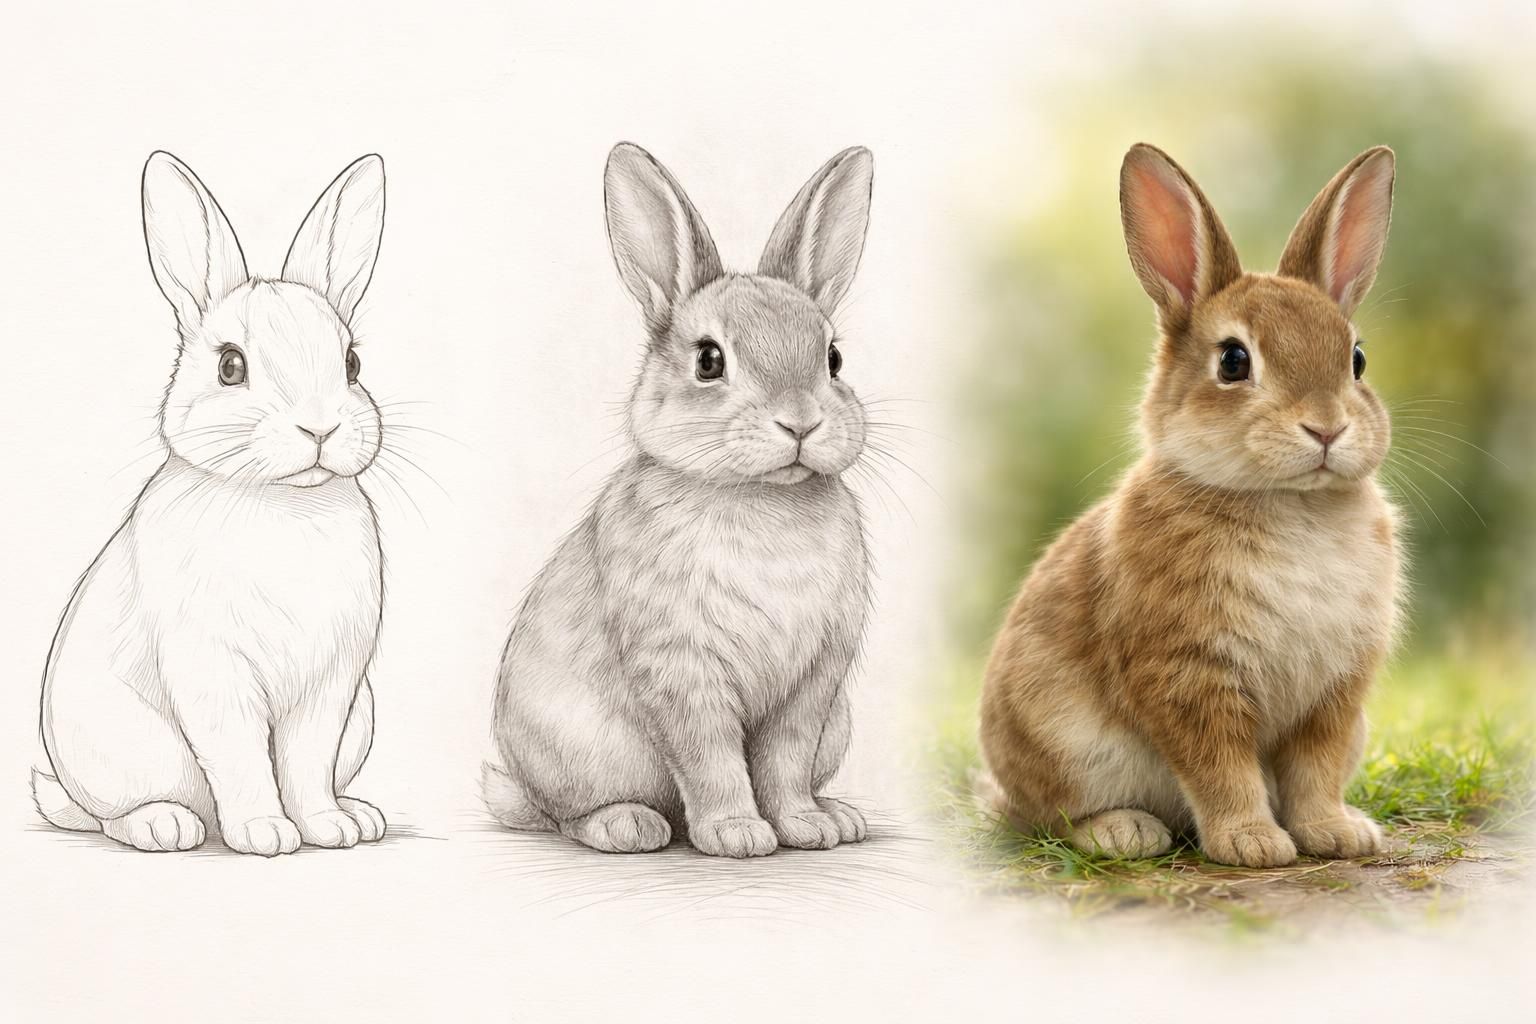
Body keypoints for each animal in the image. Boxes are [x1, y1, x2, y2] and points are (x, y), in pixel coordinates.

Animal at [31, 150, 390, 855]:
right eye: (229, 366)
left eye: (352, 364)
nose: (320, 428)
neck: (283, 502)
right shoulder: (213, 674)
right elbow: (241, 756)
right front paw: (265, 834)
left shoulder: (331, 684)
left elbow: (307, 763)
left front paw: (327, 828)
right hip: (124, 750)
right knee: (115, 813)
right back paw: (168, 826)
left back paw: (358, 812)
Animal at [482, 142, 876, 858]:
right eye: (709, 360)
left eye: (833, 358)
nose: (801, 423)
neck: (759, 497)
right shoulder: (681, 670)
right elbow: (711, 758)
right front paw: (737, 834)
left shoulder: (813, 683)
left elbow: (785, 761)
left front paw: (805, 827)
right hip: (577, 749)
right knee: (565, 814)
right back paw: (628, 826)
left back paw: (838, 812)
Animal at [978, 144, 1402, 869]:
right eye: (1233, 361)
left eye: (1357, 359)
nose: (1326, 429)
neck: (1290, 503)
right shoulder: (1187, 674)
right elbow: (1220, 769)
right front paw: (1254, 844)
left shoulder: (1335, 693)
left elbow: (1313, 772)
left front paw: (1335, 834)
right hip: (1064, 742)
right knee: (1047, 816)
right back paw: (1124, 832)